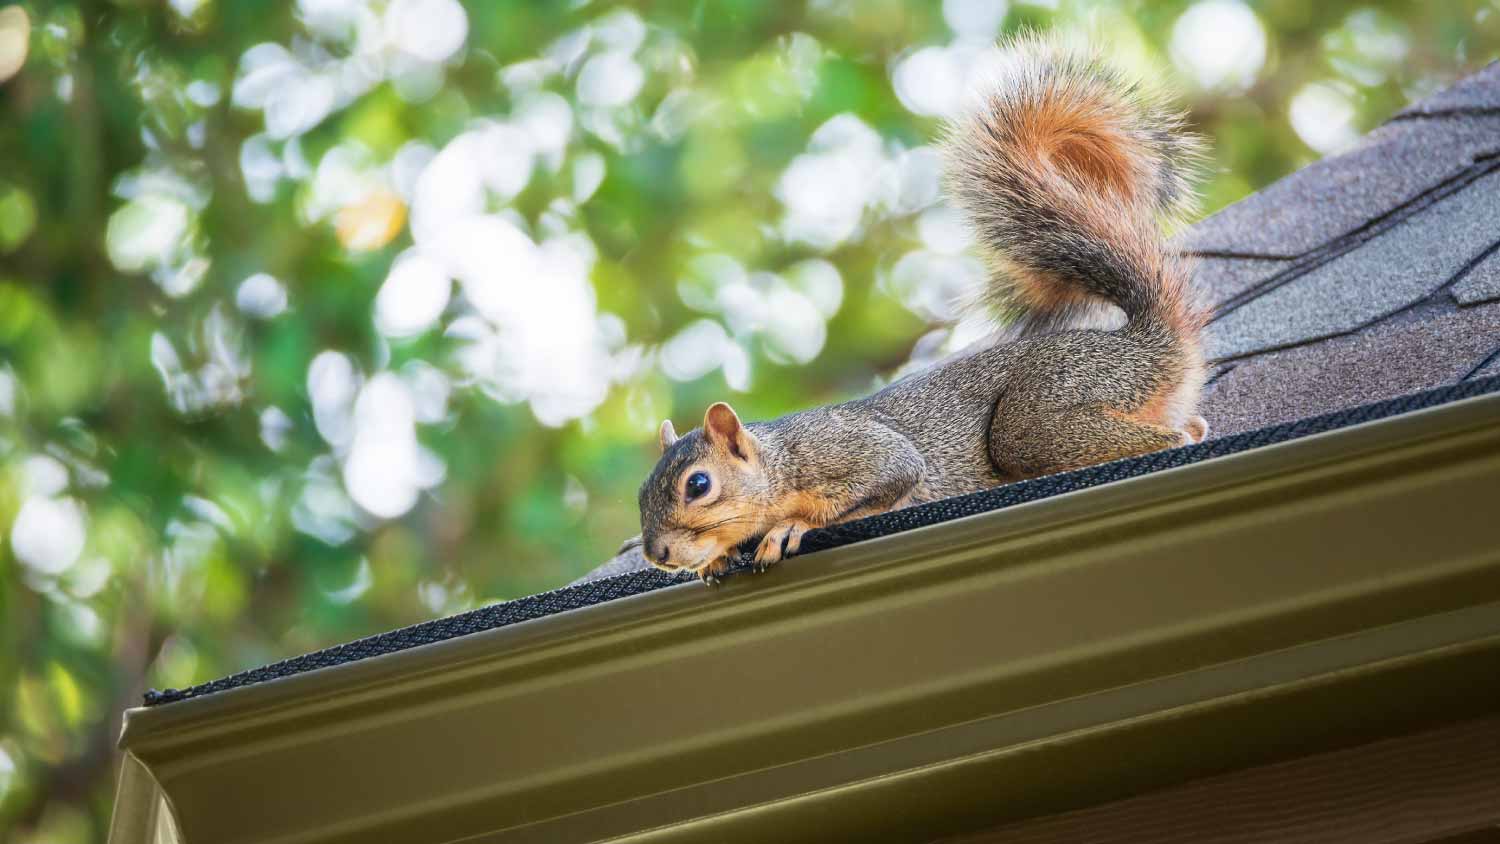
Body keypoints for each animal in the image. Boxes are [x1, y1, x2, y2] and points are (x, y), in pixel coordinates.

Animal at [637, 37, 1210, 584]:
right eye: (642, 493)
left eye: (699, 484)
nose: (657, 554)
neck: (782, 461)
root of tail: (1147, 345)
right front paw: (715, 559)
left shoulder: (856, 452)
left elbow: (885, 481)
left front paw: (788, 526)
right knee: (1192, 427)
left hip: (1044, 412)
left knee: (1168, 437)